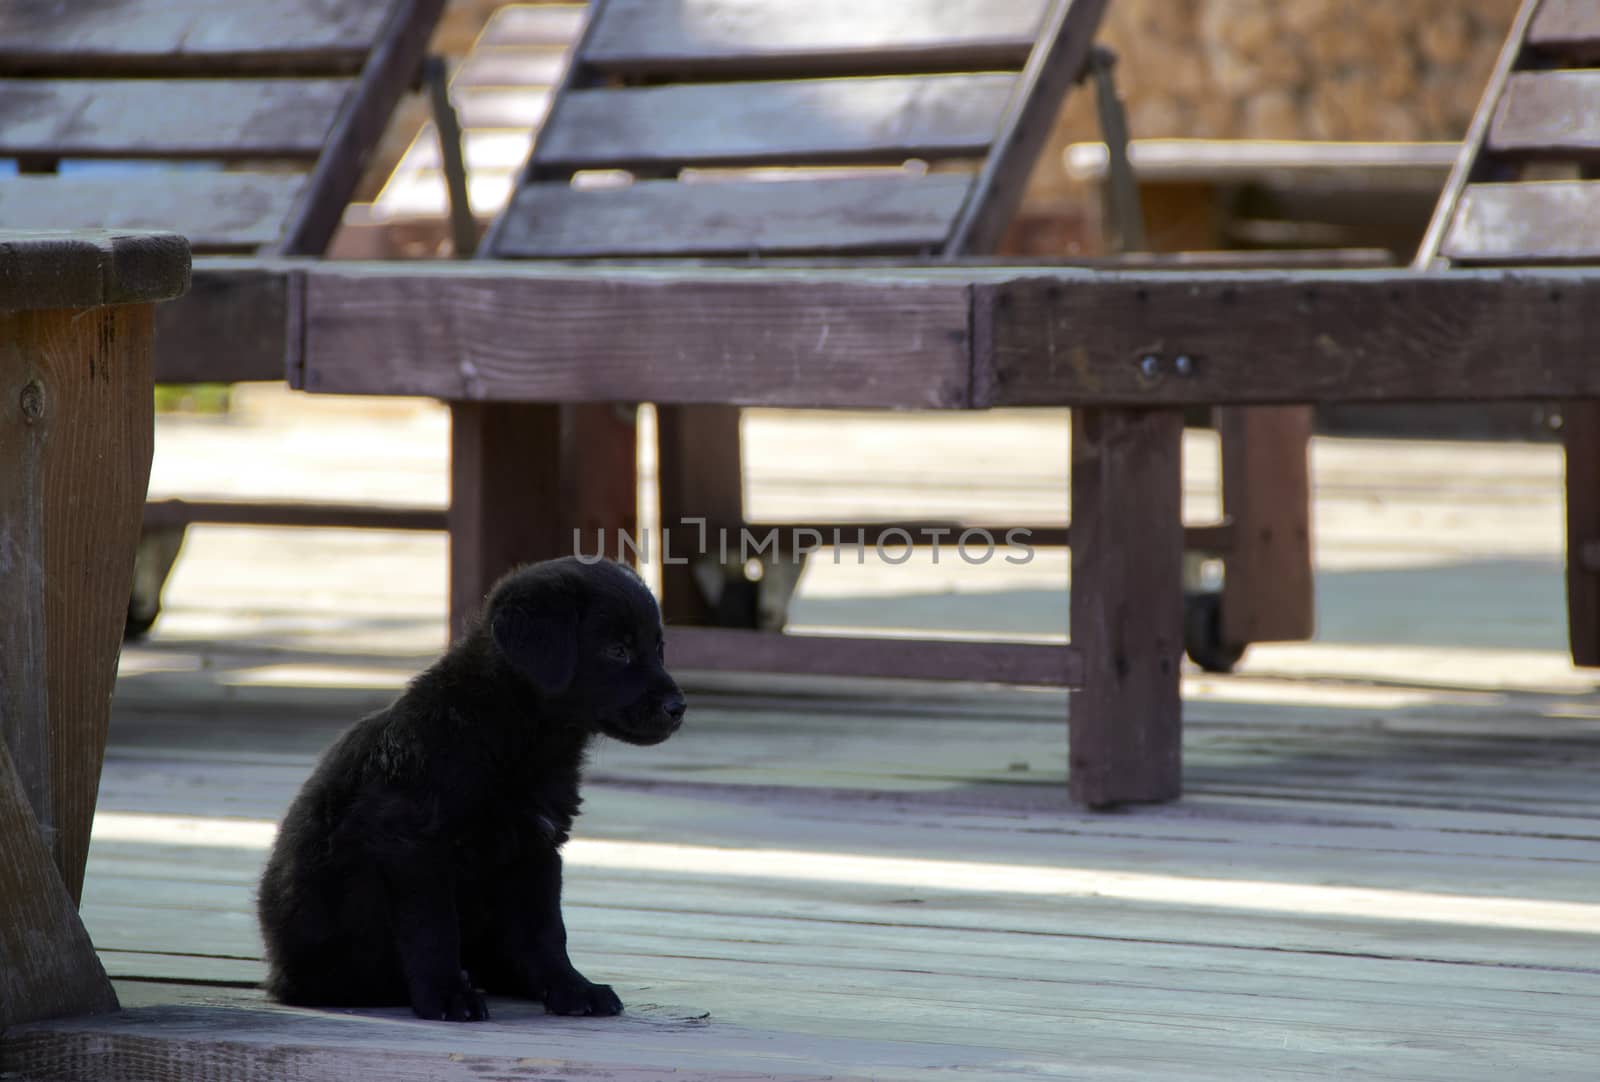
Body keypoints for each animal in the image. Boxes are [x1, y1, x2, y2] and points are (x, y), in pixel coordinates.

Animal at [254, 557, 681, 1024]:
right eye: (617, 650)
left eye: (658, 648)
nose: (678, 708)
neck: (514, 736)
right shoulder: (415, 849)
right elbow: (435, 929)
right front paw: (446, 995)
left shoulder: (536, 846)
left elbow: (547, 931)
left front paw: (571, 988)